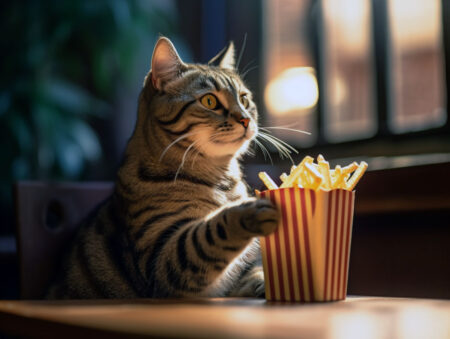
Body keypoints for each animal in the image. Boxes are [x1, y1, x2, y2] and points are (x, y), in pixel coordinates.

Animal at [45, 35, 280, 298]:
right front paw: (249, 210)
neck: (221, 179)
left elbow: (253, 273)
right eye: (209, 101)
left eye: (244, 99)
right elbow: (207, 232)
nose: (246, 119)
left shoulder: (241, 271)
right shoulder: (163, 262)